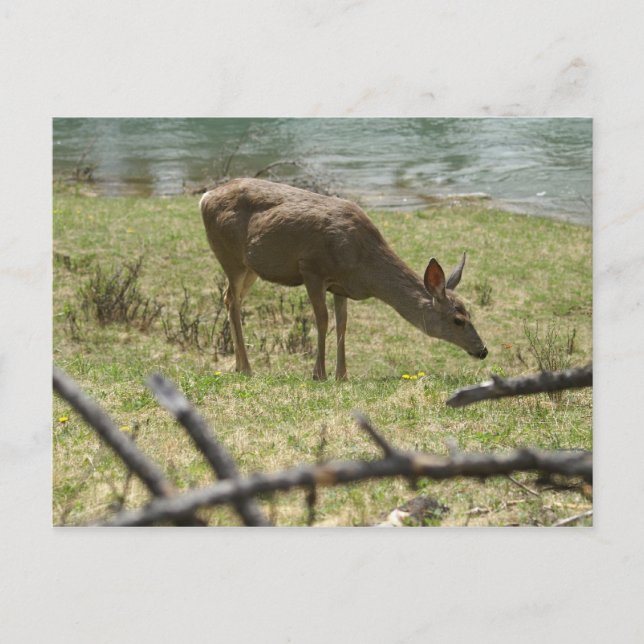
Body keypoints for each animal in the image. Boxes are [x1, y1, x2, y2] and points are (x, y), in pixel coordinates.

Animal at [200, 178, 488, 381]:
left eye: (470, 314)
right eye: (458, 319)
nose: (483, 350)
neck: (363, 268)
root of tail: (205, 198)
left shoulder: (340, 286)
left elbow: (343, 324)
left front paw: (342, 375)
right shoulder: (311, 268)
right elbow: (322, 319)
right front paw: (319, 374)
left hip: (251, 268)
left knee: (230, 298)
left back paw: (240, 365)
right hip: (230, 256)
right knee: (231, 299)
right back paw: (246, 368)